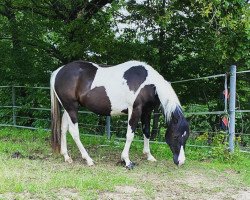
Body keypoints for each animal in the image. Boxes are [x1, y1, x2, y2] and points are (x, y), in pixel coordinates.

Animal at [49, 60, 188, 169]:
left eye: (186, 137)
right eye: (176, 136)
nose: (181, 161)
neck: (148, 84)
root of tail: (59, 71)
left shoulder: (146, 112)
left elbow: (147, 132)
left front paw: (149, 156)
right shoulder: (135, 110)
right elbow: (130, 135)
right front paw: (126, 160)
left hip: (68, 109)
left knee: (64, 128)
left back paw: (66, 156)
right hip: (72, 108)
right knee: (74, 132)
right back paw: (88, 159)